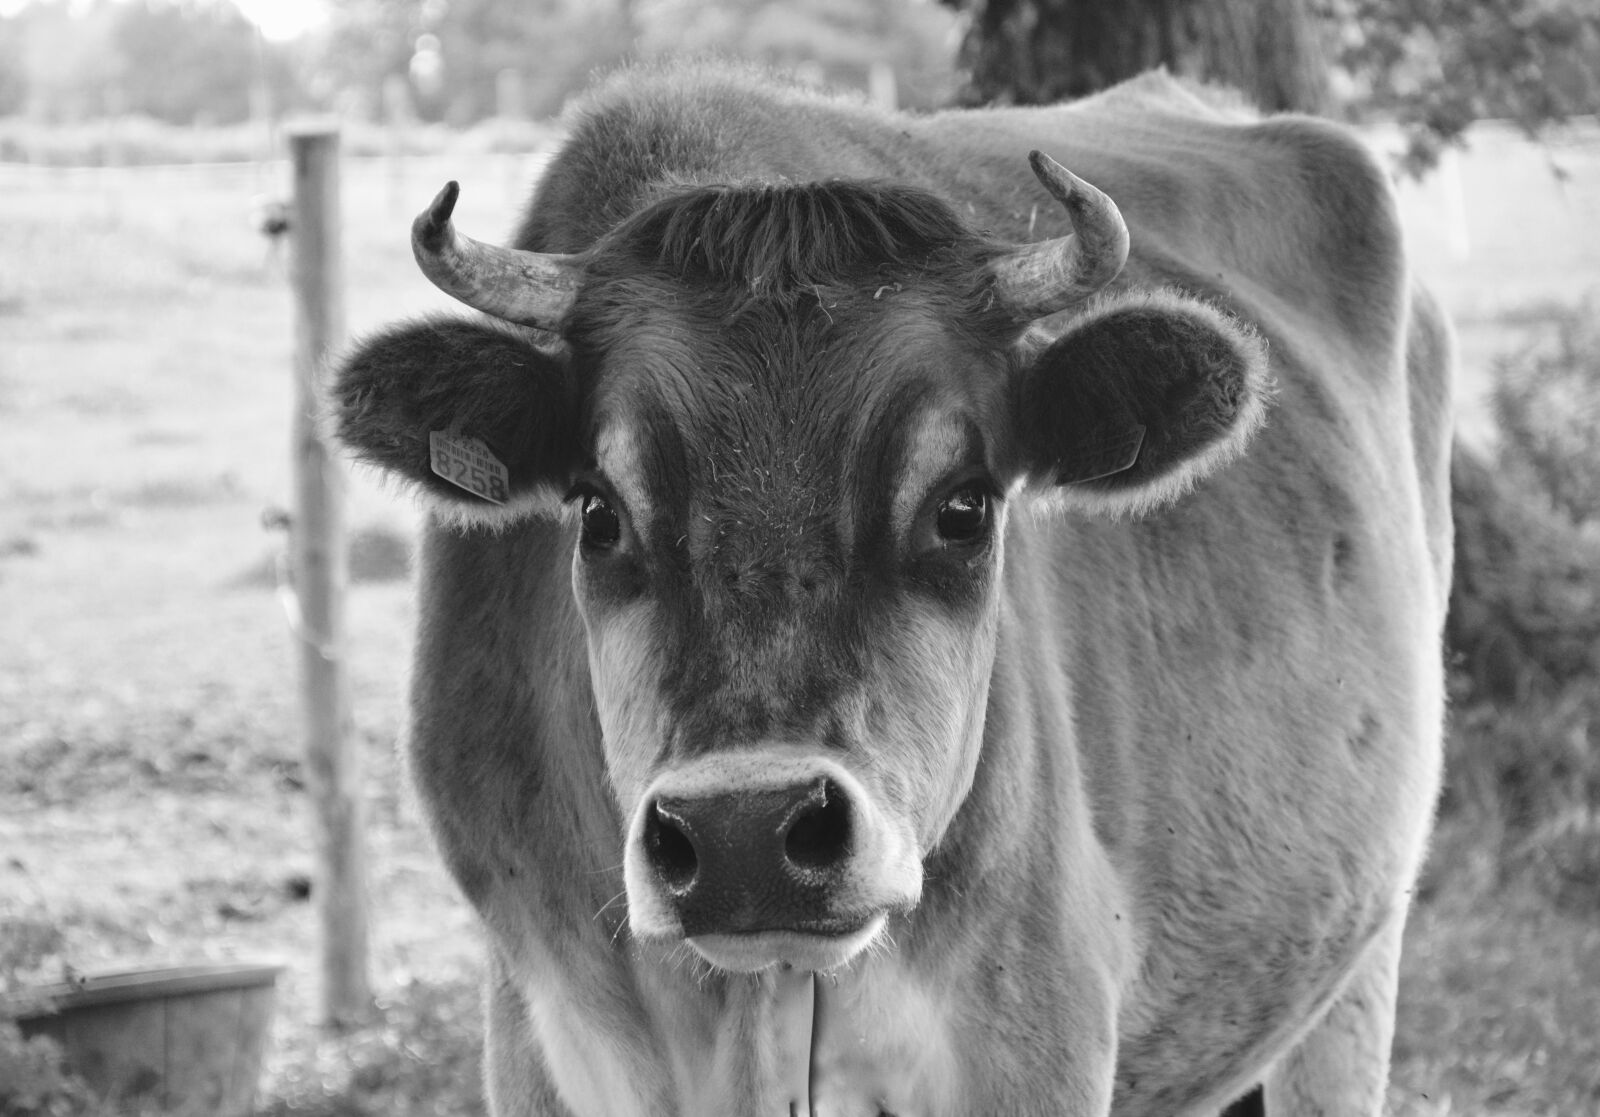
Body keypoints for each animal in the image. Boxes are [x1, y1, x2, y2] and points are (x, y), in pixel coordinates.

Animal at [332, 62, 1453, 1116]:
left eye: (963, 506)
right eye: (599, 513)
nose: (745, 835)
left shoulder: (1033, 1030)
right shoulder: (536, 1037)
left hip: (1364, 949)